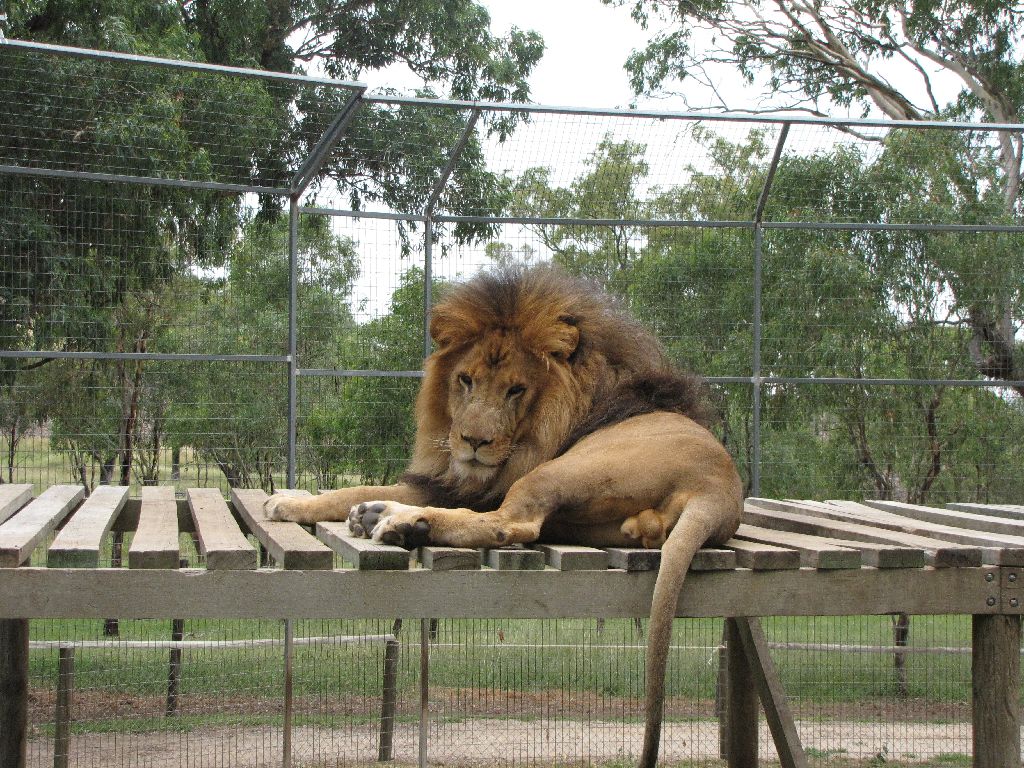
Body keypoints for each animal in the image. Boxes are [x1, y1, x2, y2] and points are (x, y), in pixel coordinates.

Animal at [266, 265, 742, 768]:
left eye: (516, 390)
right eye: (465, 380)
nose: (474, 442)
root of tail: (718, 490)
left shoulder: (480, 490)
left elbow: (377, 492)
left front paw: (301, 503)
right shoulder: (446, 481)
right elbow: (349, 490)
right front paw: (298, 499)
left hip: (559, 471)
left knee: (512, 522)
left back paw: (398, 523)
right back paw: (381, 516)